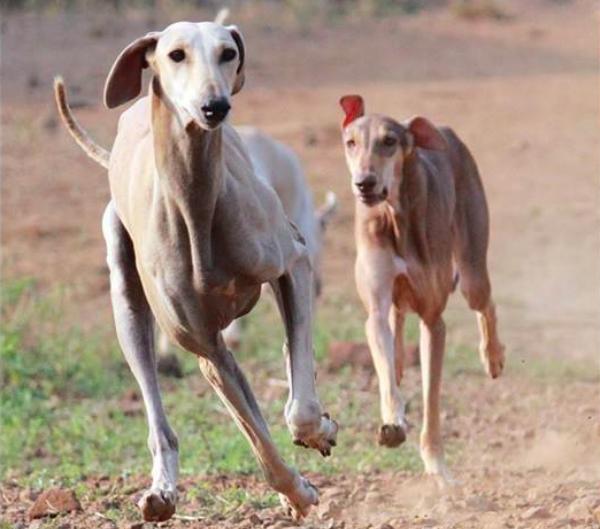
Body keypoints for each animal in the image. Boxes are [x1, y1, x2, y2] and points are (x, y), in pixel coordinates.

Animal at [340, 94, 504, 482]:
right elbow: (385, 367)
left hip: (472, 267)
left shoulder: (434, 320)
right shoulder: (376, 307)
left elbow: (432, 395)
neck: (396, 215)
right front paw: (393, 422)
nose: (364, 183)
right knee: (396, 323)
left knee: (485, 302)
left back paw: (493, 356)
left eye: (389, 141)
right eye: (351, 142)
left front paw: (436, 465)